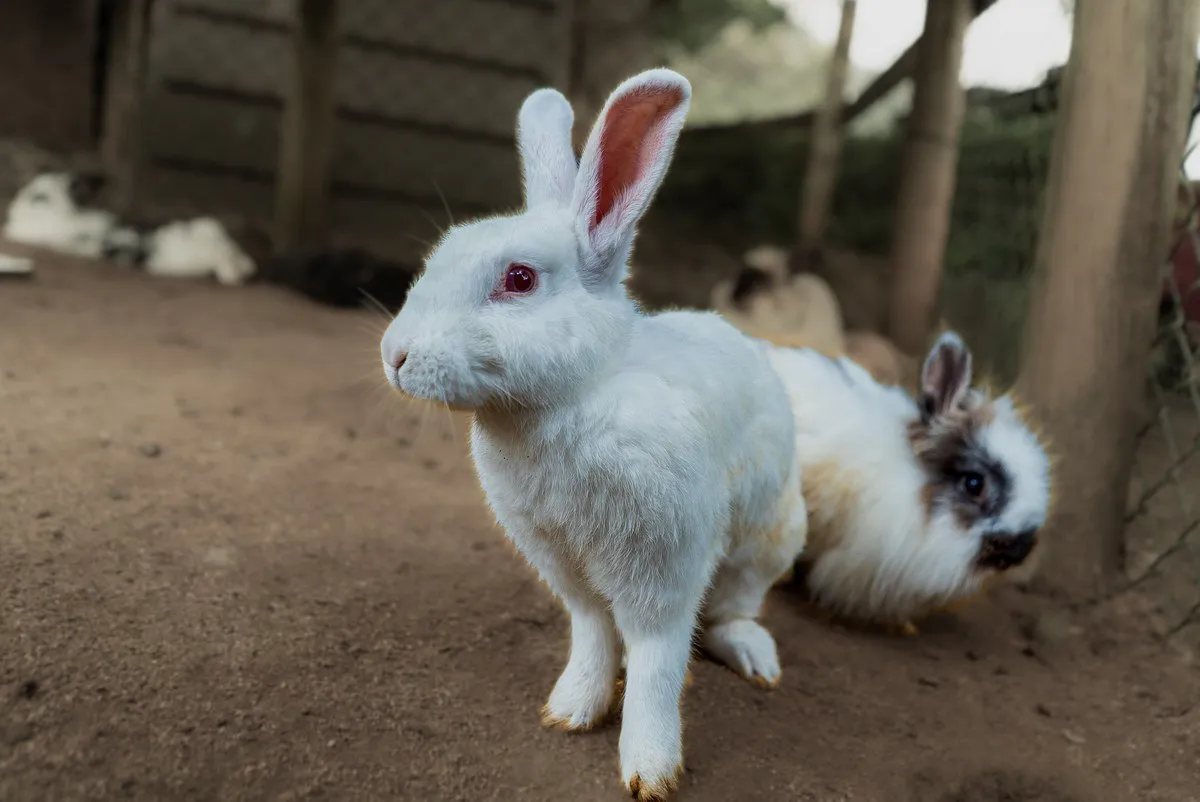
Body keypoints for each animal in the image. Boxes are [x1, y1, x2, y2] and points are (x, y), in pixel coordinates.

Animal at [379, 69, 807, 801]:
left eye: (519, 279)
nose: (394, 356)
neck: (569, 400)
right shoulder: (564, 568)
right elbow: (593, 636)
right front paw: (572, 709)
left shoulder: (663, 570)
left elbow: (658, 662)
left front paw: (651, 770)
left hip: (766, 543)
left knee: (732, 613)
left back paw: (757, 661)